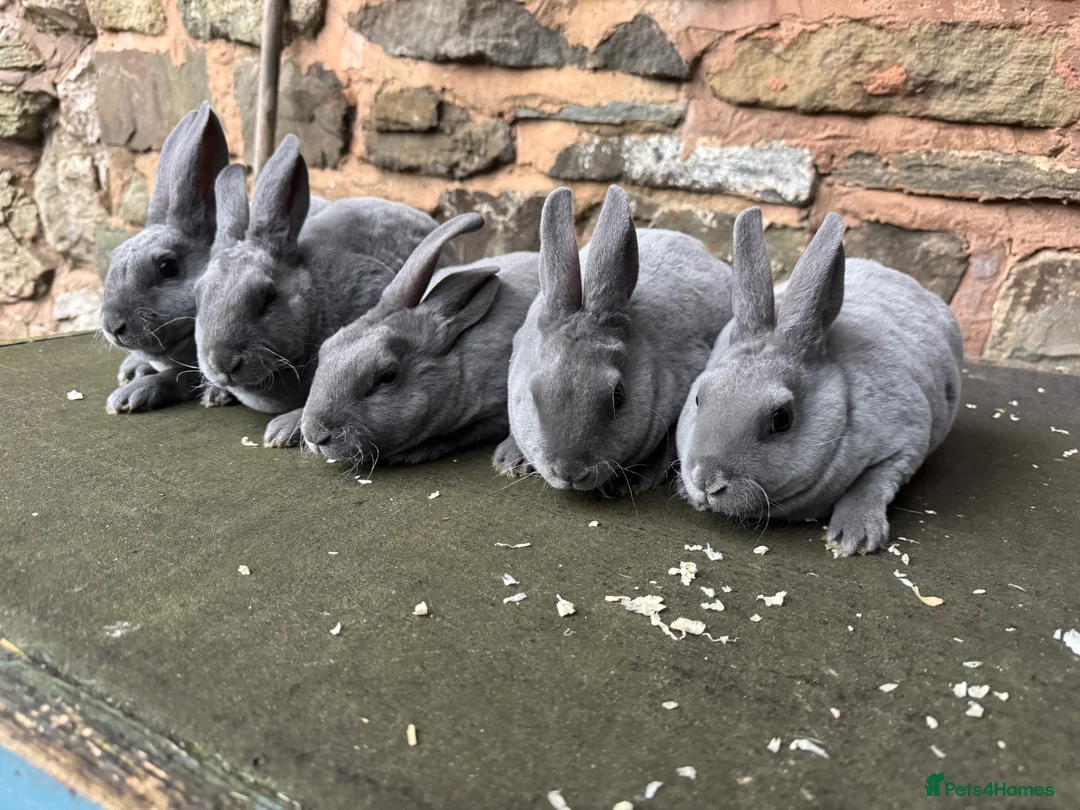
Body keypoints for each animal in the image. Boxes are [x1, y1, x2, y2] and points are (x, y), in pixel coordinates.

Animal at [100, 102, 231, 414]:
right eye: (114, 258)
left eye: (167, 268)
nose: (112, 326)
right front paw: (131, 370)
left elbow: (176, 376)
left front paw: (128, 396)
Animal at [194, 133, 457, 447]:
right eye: (197, 296)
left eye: (268, 297)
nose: (223, 363)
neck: (314, 303)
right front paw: (214, 394)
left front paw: (281, 431)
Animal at [300, 212, 540, 467]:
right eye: (325, 349)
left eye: (387, 377)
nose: (314, 435)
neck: (459, 363)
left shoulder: (495, 413)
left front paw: (417, 451)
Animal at [676, 207, 963, 556]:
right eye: (699, 398)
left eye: (782, 419)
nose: (706, 481)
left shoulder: (907, 440)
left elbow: (874, 481)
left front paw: (854, 537)